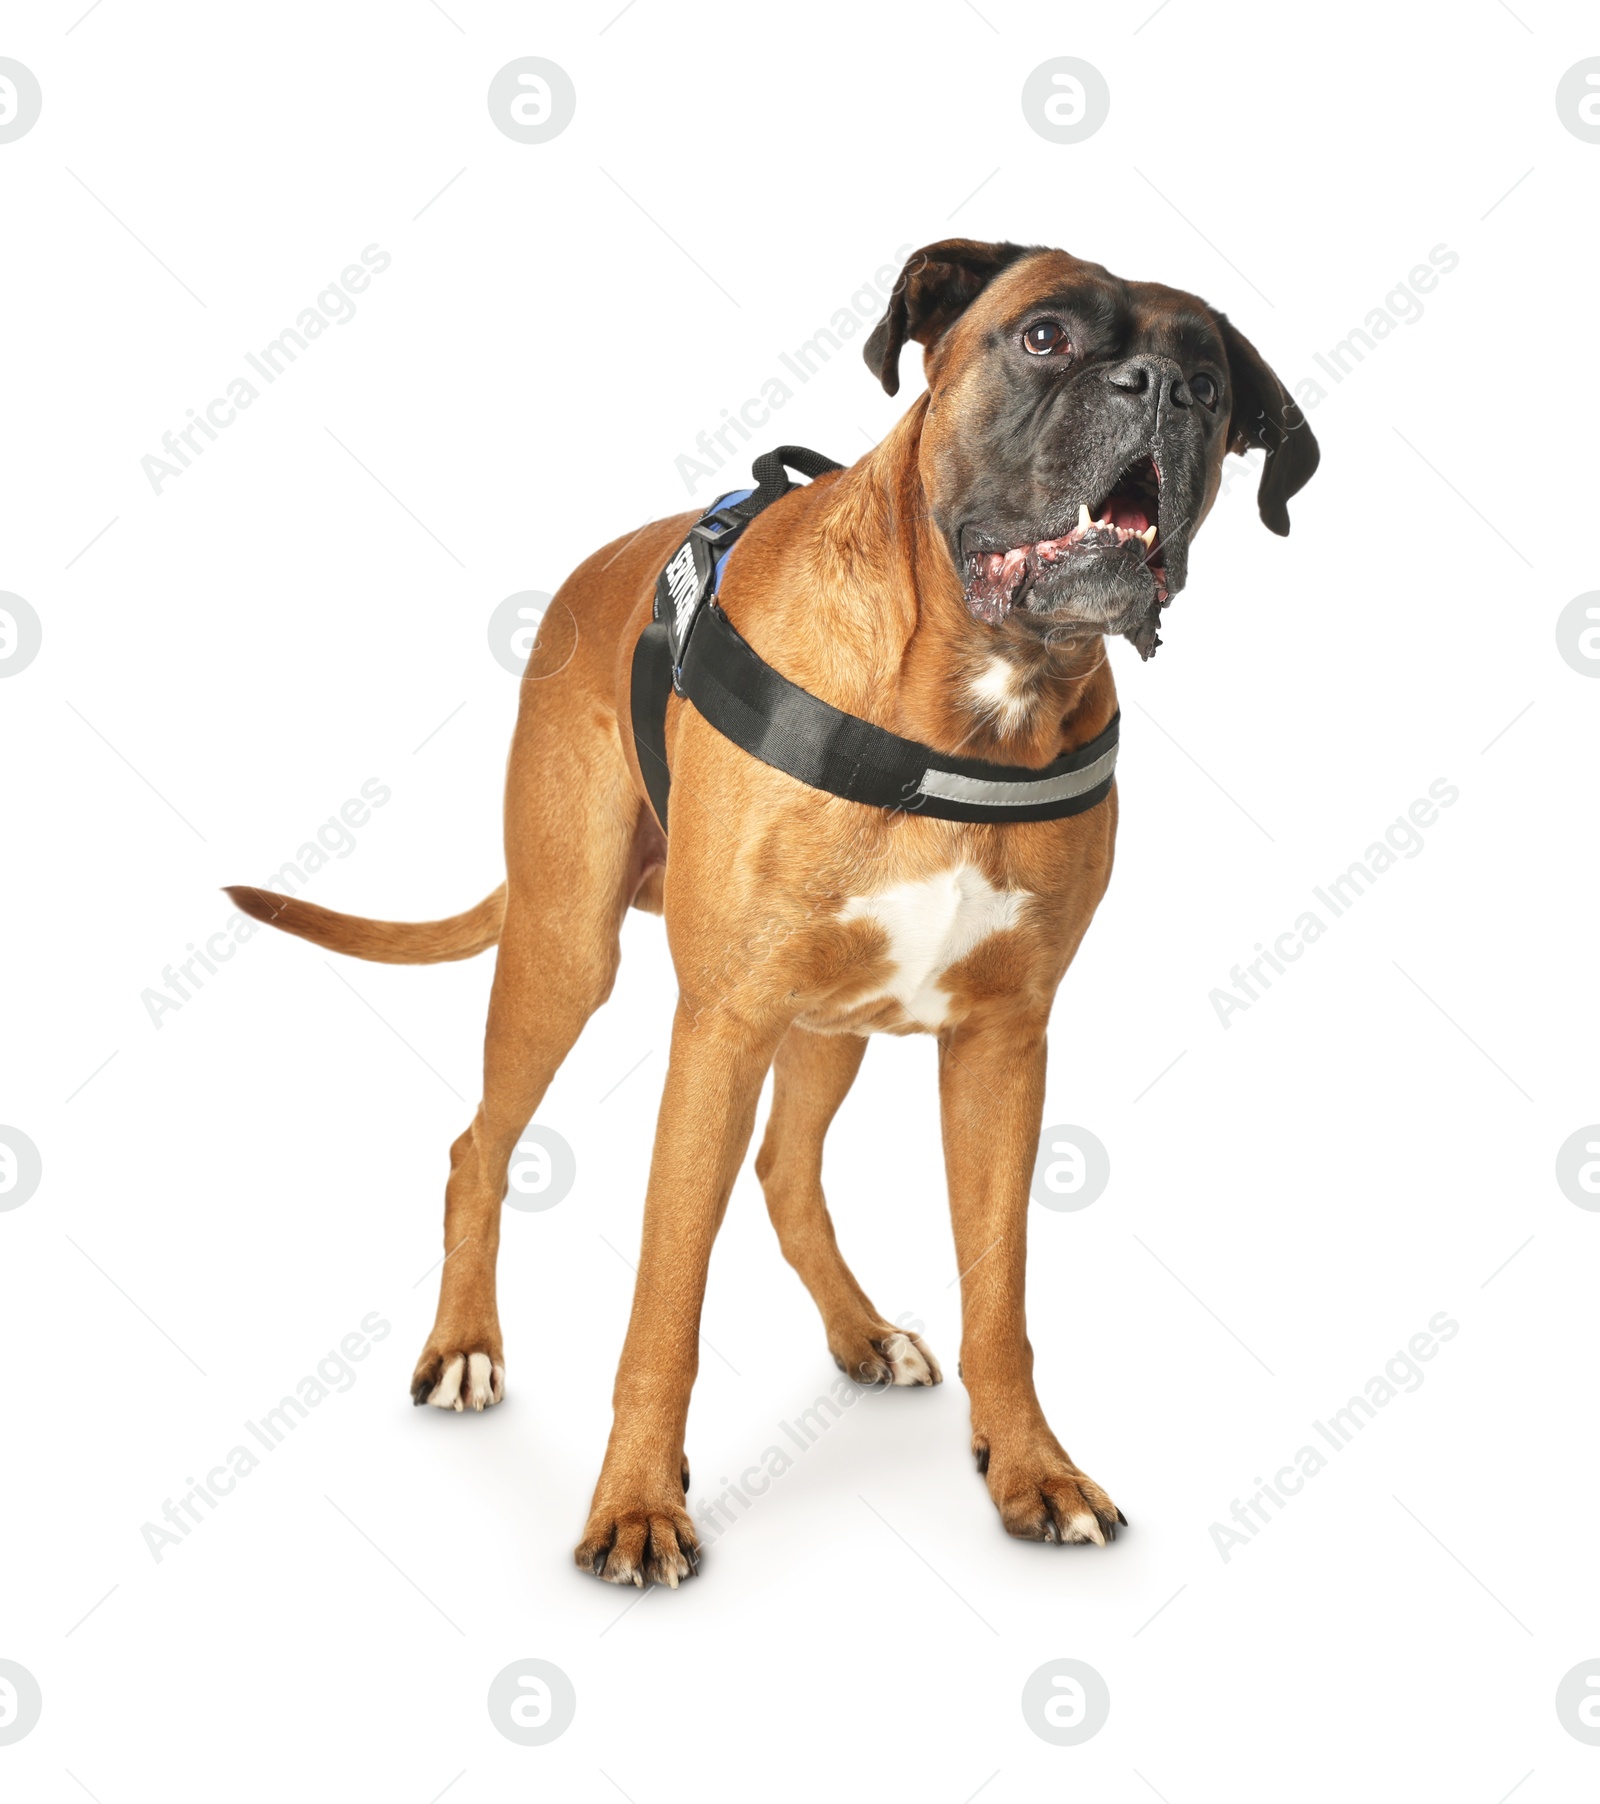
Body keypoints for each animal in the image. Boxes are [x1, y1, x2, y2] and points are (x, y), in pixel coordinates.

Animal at [228, 243, 1327, 1594]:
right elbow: (664, 1304)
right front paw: (636, 1504)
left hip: (830, 1019)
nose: (1162, 391)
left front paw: (1031, 1469)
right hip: (567, 949)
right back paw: (466, 1347)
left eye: (1213, 386)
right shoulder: (720, 1028)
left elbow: (1001, 1292)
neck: (975, 689)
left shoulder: (1001, 1045)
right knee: (478, 1145)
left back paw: (861, 1333)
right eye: (1045, 336)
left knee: (785, 1170)